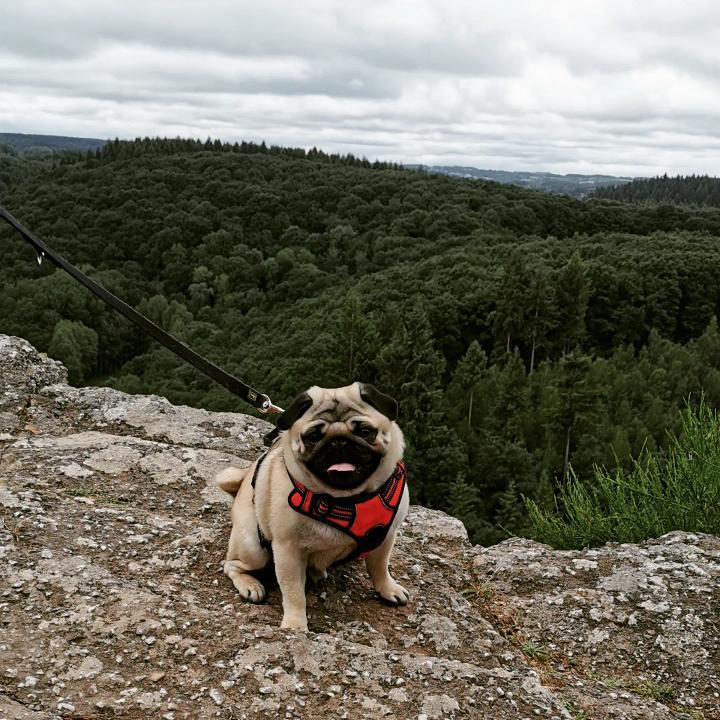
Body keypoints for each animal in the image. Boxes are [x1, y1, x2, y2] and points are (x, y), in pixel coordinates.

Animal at [214, 382, 408, 632]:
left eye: (365, 432)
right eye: (314, 437)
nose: (338, 442)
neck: (345, 500)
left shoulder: (386, 537)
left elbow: (380, 567)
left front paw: (387, 588)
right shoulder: (288, 550)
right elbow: (293, 592)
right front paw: (295, 625)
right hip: (253, 547)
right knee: (232, 565)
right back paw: (250, 585)